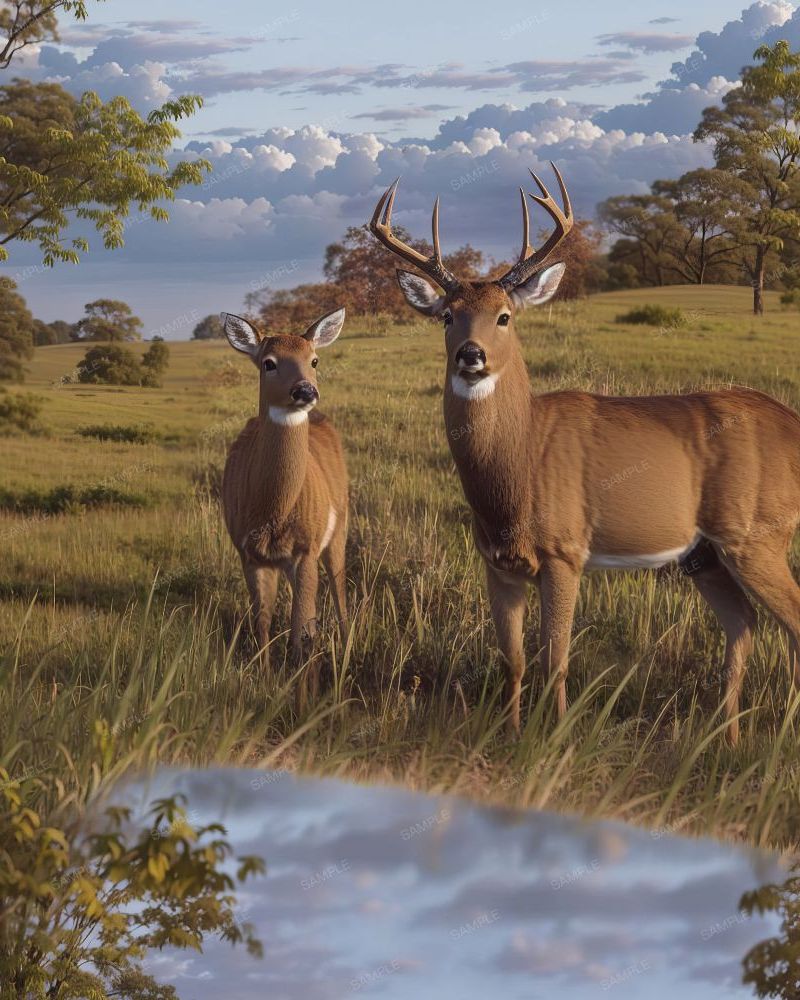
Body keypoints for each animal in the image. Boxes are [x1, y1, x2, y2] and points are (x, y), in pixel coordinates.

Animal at [220, 309, 349, 706]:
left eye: (314, 359)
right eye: (268, 363)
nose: (305, 390)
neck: (274, 511)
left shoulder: (306, 547)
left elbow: (301, 632)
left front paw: (304, 700)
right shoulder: (249, 552)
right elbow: (262, 621)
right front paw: (264, 680)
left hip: (339, 530)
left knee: (339, 594)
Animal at [369, 165, 800, 745]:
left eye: (504, 316)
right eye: (446, 317)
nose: (470, 355)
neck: (519, 468)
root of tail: (793, 424)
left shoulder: (564, 550)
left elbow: (556, 658)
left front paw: (553, 738)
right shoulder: (497, 563)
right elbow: (512, 659)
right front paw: (509, 734)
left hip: (757, 533)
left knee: (790, 621)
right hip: (705, 553)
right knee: (743, 624)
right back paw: (724, 739)